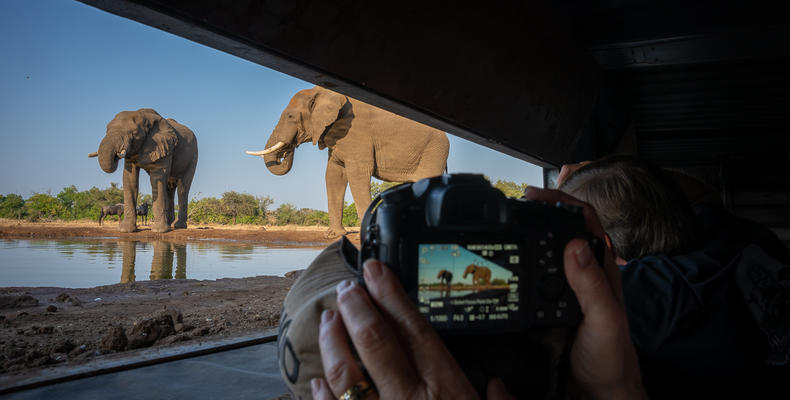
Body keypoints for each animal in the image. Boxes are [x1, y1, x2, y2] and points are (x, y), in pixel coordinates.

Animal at [248, 86, 448, 236]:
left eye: (290, 116)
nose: (289, 148)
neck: (324, 92)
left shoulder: (357, 133)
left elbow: (357, 174)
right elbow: (333, 175)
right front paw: (334, 235)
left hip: (434, 151)